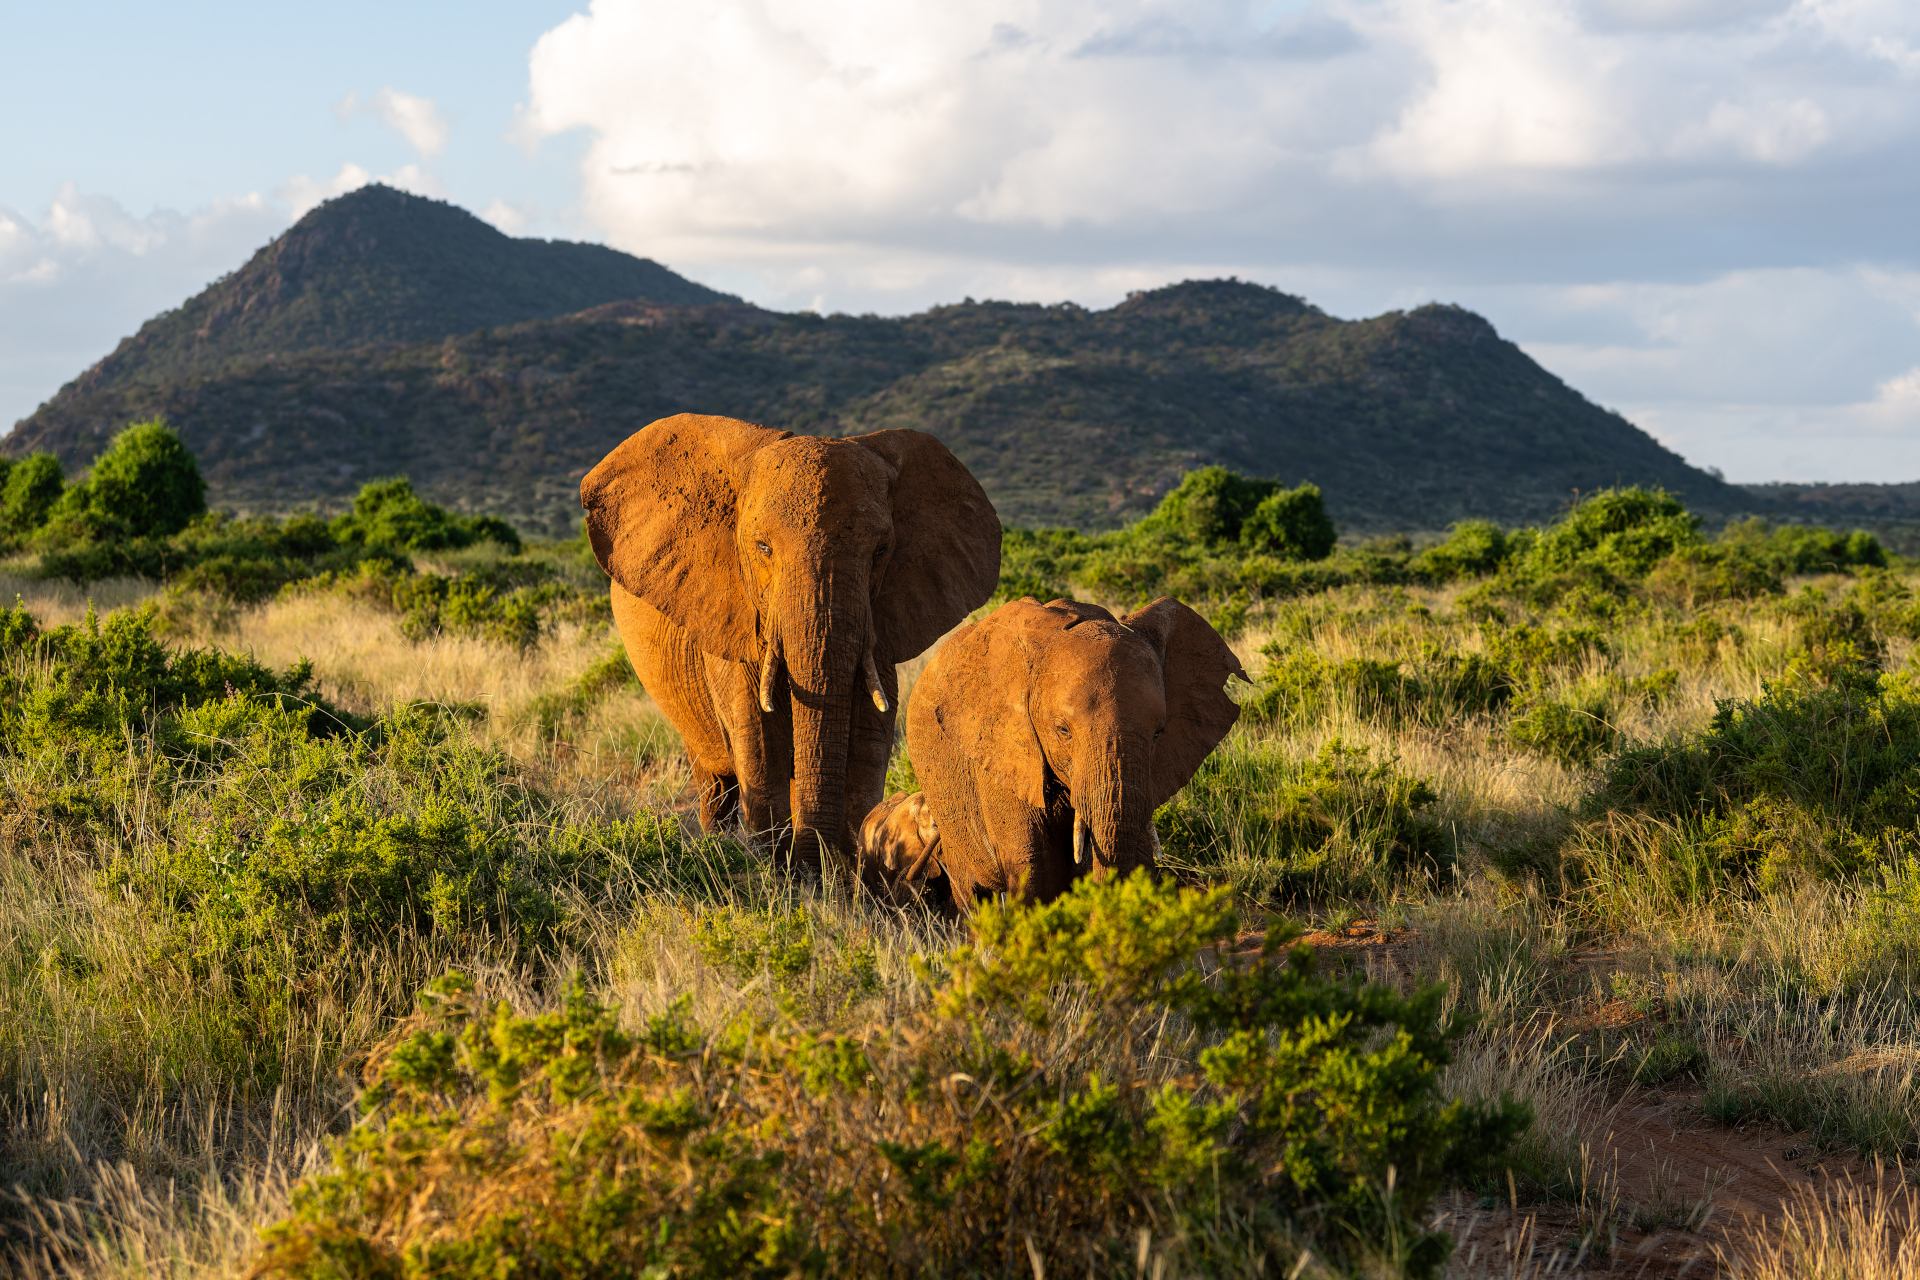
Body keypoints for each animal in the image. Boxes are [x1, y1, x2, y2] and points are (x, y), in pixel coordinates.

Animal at [580, 413, 1000, 866]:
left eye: (881, 551)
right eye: (762, 547)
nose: (814, 860)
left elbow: (870, 739)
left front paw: (842, 867)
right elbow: (760, 741)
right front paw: (778, 866)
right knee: (716, 781)